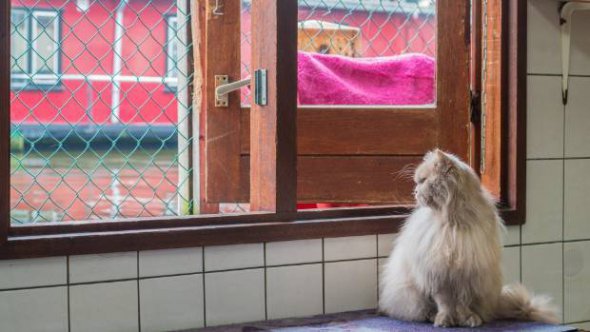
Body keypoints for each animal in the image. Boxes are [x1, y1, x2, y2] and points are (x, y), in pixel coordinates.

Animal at [380, 150, 560, 326]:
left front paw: (467, 319)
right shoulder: (439, 277)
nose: (415, 192)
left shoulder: (468, 277)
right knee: (422, 309)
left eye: (422, 181)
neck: (453, 224)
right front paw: (444, 320)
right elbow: (444, 304)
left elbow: (462, 304)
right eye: (418, 182)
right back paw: (431, 316)